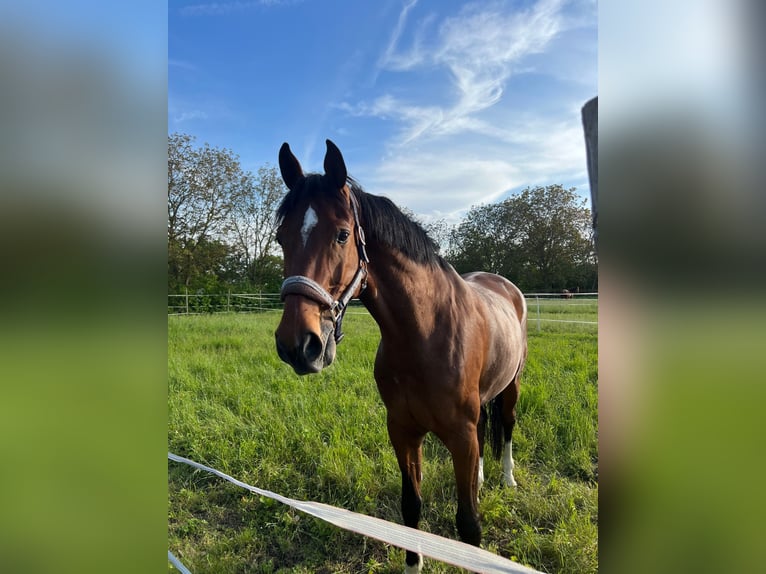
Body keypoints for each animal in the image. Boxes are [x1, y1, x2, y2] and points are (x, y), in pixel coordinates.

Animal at [272, 141, 528, 574]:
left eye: (342, 235)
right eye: (281, 237)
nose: (298, 345)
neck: (424, 335)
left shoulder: (459, 436)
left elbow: (469, 526)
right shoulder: (403, 432)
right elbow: (411, 510)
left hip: (511, 387)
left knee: (506, 426)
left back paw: (508, 480)